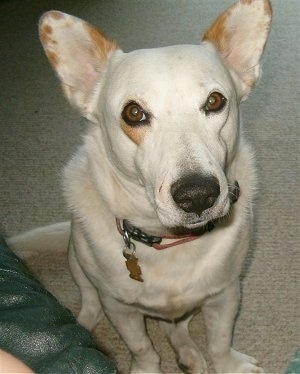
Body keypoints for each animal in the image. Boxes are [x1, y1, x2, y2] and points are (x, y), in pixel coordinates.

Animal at [9, 1, 272, 372]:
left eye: (215, 101)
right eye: (133, 113)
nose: (198, 195)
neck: (169, 241)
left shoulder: (226, 293)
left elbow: (219, 341)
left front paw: (227, 364)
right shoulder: (119, 308)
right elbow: (142, 347)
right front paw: (146, 366)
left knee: (178, 327)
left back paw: (189, 354)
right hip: (78, 261)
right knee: (89, 299)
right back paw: (82, 323)